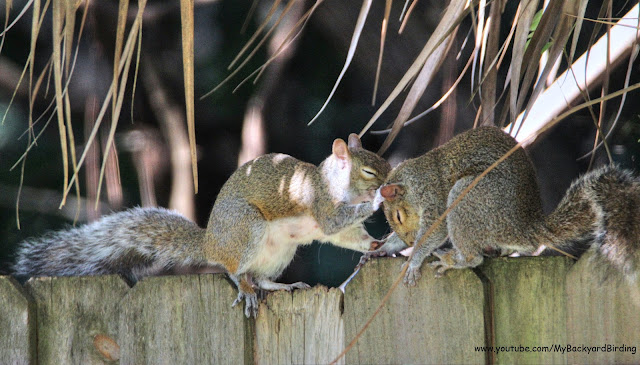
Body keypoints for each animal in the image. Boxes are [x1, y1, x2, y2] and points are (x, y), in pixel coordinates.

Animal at [13, 134, 390, 316]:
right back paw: (246, 289)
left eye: (384, 163)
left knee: (261, 277)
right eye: (370, 171)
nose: (390, 181)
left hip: (281, 251)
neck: (332, 182)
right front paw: (376, 199)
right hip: (247, 230)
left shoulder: (338, 226)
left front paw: (378, 245)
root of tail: (210, 243)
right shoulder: (321, 203)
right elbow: (335, 222)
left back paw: (279, 286)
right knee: (236, 272)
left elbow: (349, 236)